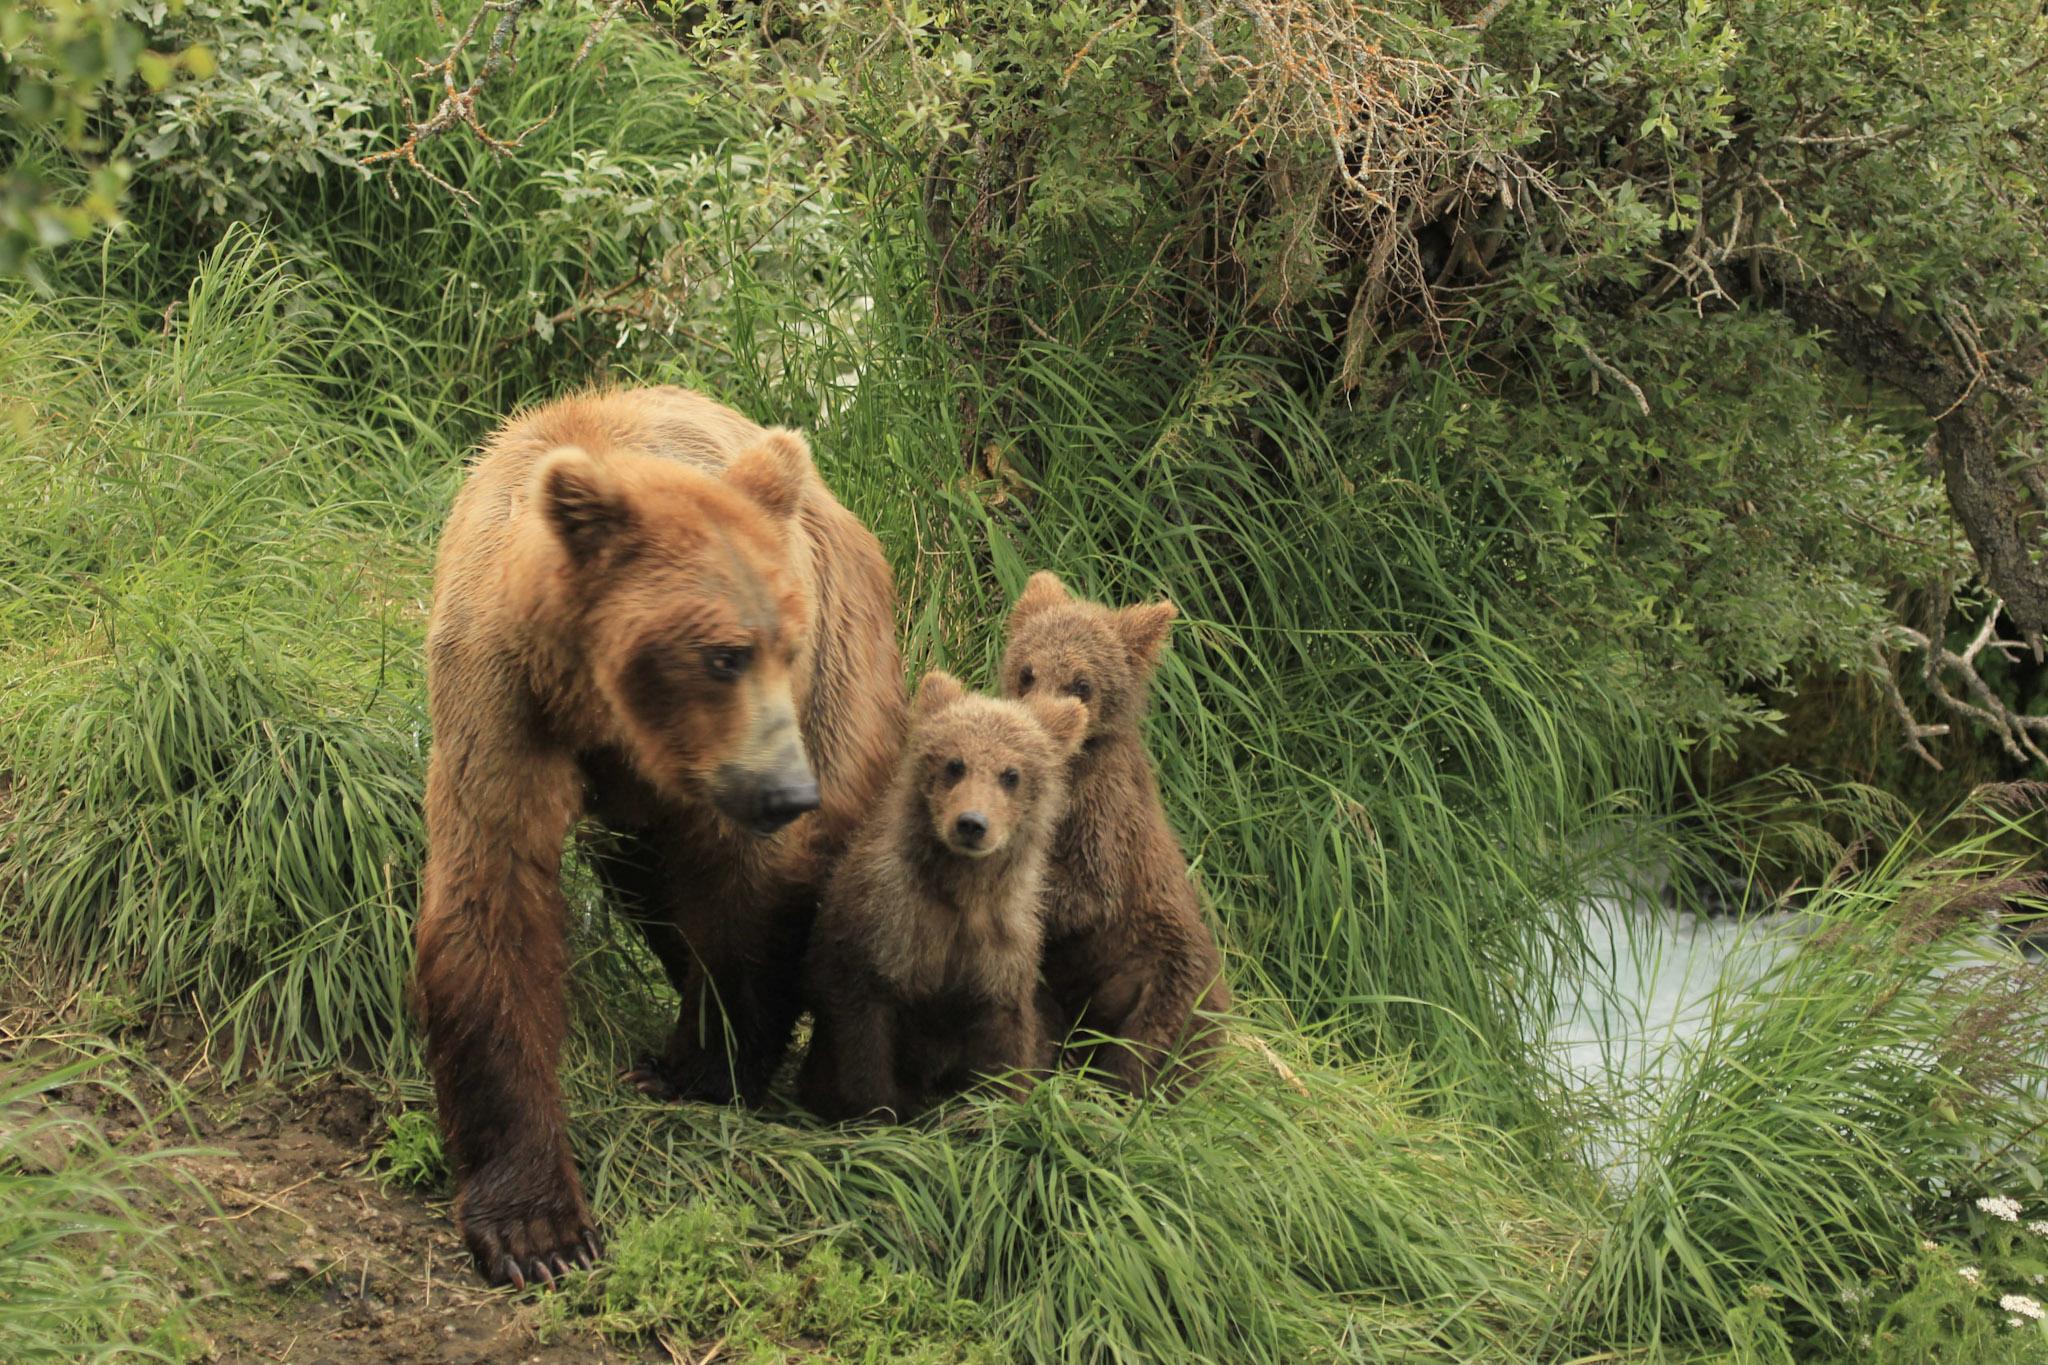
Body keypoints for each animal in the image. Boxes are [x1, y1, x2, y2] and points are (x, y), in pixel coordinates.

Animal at [411, 386, 901, 1293]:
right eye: (723, 654)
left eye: (784, 644)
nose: (791, 791)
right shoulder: (500, 695)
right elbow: (493, 896)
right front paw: (537, 1228)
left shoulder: (736, 763)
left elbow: (748, 903)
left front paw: (706, 1066)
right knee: (640, 877)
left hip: (850, 670)